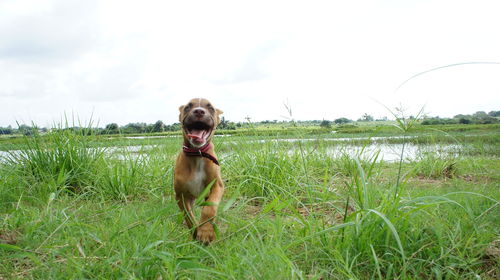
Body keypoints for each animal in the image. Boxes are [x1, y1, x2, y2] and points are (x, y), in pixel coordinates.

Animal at [174, 98, 225, 245]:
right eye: (188, 107)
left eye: (211, 108)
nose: (199, 111)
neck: (197, 153)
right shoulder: (181, 196)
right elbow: (190, 219)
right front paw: (196, 233)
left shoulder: (217, 186)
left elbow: (210, 209)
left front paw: (206, 232)